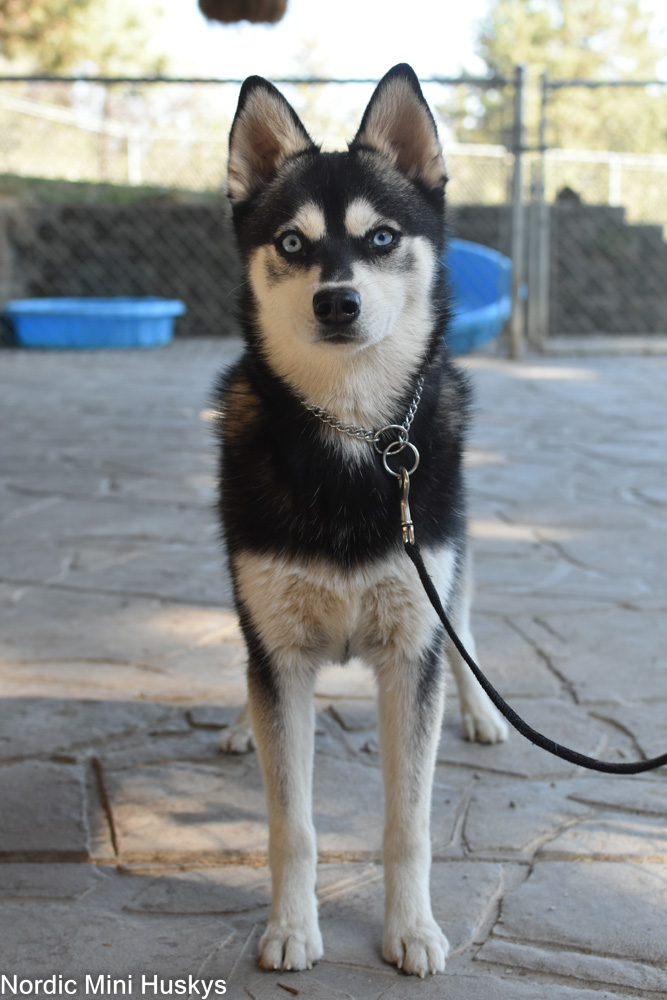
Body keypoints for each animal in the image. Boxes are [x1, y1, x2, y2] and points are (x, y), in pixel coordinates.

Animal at [217, 66, 508, 980]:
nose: (336, 302)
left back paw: (481, 711)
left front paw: (410, 929)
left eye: (380, 238)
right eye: (292, 244)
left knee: (467, 629)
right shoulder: (275, 648)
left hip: (452, 565)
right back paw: (237, 725)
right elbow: (292, 822)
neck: (351, 436)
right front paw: (289, 927)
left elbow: (407, 825)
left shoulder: (411, 646)